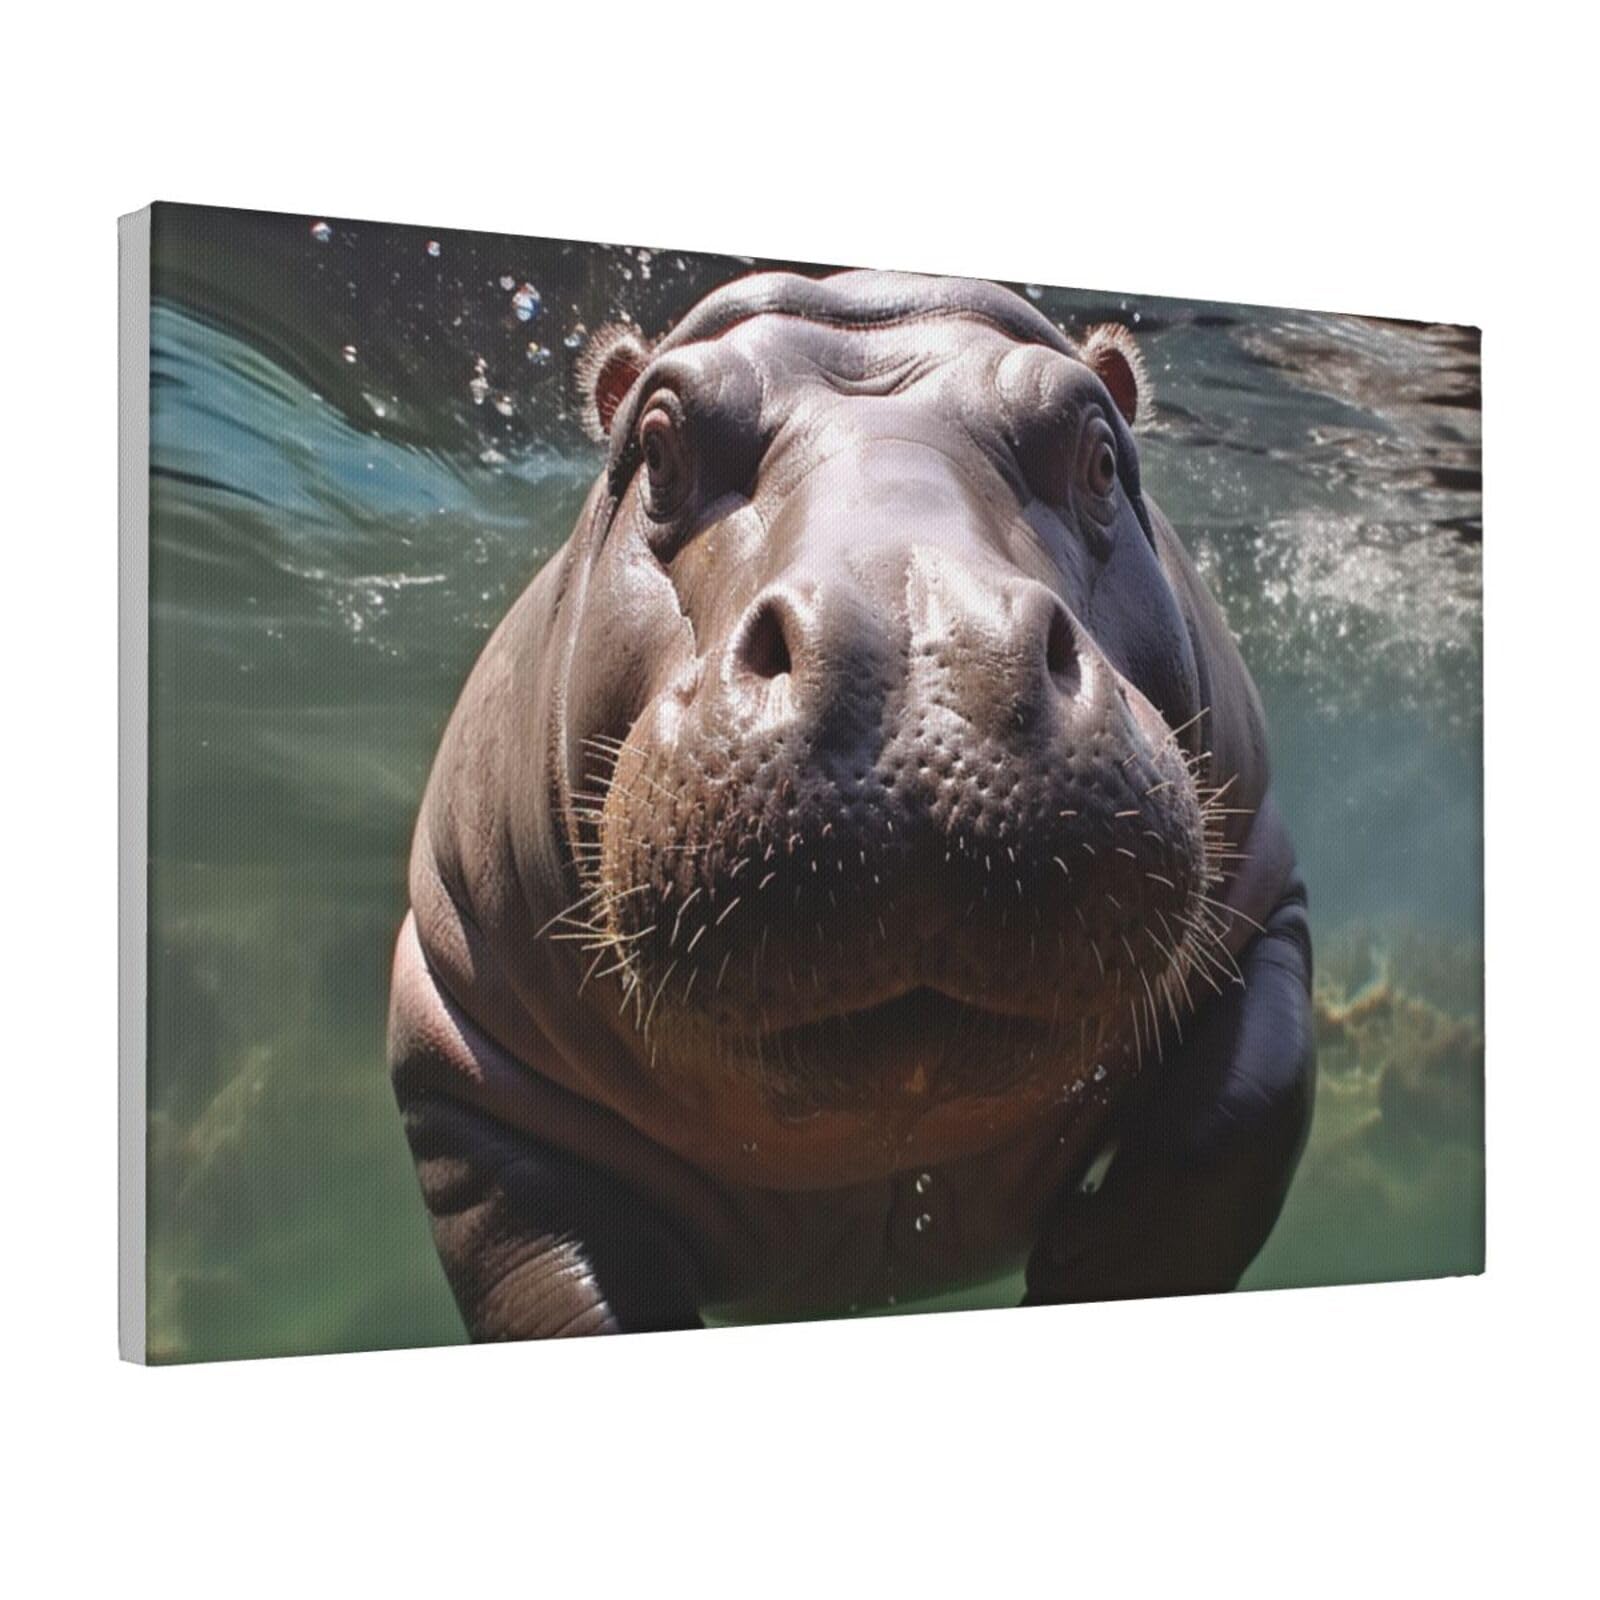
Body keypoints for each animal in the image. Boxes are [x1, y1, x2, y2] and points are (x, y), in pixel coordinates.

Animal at [388, 270, 1315, 1338]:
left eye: (1096, 452)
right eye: (656, 447)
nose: (915, 641)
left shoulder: (1265, 912)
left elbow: (1240, 1112)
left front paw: (1086, 1261)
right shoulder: (457, 1036)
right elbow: (559, 1285)